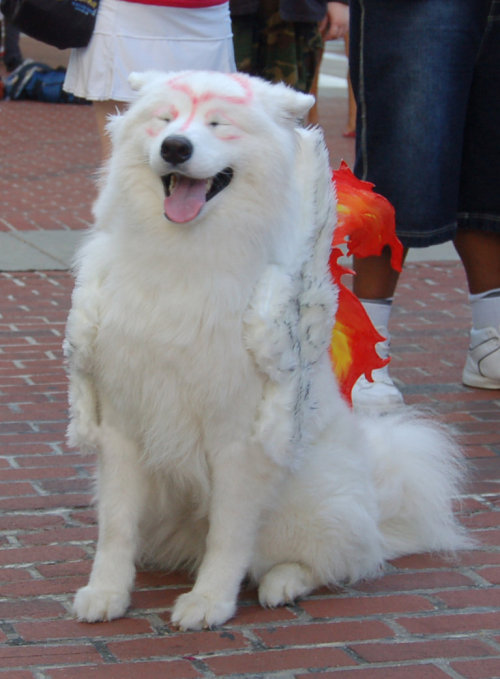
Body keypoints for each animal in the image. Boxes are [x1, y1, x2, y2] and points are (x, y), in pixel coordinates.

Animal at [65, 70, 468, 632]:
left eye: (218, 124)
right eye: (165, 120)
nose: (175, 147)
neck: (182, 259)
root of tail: (377, 498)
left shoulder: (238, 442)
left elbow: (229, 534)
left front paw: (209, 602)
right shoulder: (123, 427)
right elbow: (116, 526)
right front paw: (106, 593)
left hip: (304, 506)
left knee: (340, 560)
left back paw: (284, 583)